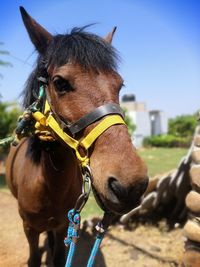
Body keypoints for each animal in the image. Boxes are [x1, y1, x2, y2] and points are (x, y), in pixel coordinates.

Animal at [5, 6, 148, 267]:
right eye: (59, 82)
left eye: (120, 85)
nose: (131, 184)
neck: (48, 184)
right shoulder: (29, 228)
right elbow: (34, 258)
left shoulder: (63, 224)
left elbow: (58, 256)